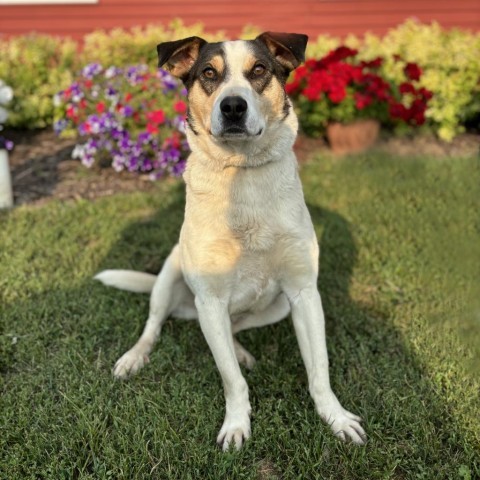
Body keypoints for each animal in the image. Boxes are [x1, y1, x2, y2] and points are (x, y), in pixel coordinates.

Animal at [95, 32, 366, 450]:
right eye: (209, 73)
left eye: (259, 70)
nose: (234, 106)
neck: (243, 174)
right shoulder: (210, 299)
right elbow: (231, 381)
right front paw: (237, 425)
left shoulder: (304, 292)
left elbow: (319, 370)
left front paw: (336, 418)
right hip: (171, 275)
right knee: (154, 324)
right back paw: (134, 357)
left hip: (275, 308)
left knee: (234, 329)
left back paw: (240, 352)